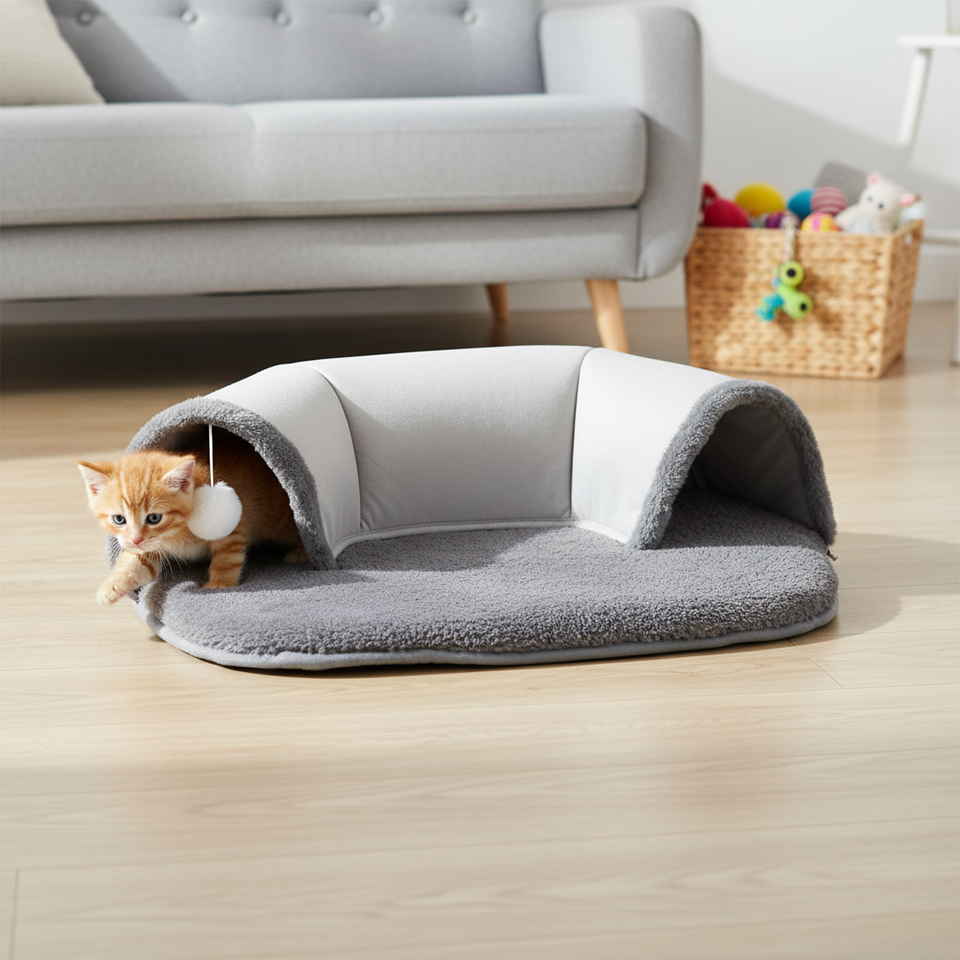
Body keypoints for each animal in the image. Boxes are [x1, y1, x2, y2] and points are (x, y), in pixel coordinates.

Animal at [78, 434, 306, 605]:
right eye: (119, 519)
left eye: (154, 518)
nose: (135, 539)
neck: (176, 532)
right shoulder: (150, 547)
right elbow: (137, 562)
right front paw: (112, 585)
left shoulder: (232, 525)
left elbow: (227, 558)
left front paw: (219, 586)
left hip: (281, 520)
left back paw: (301, 552)